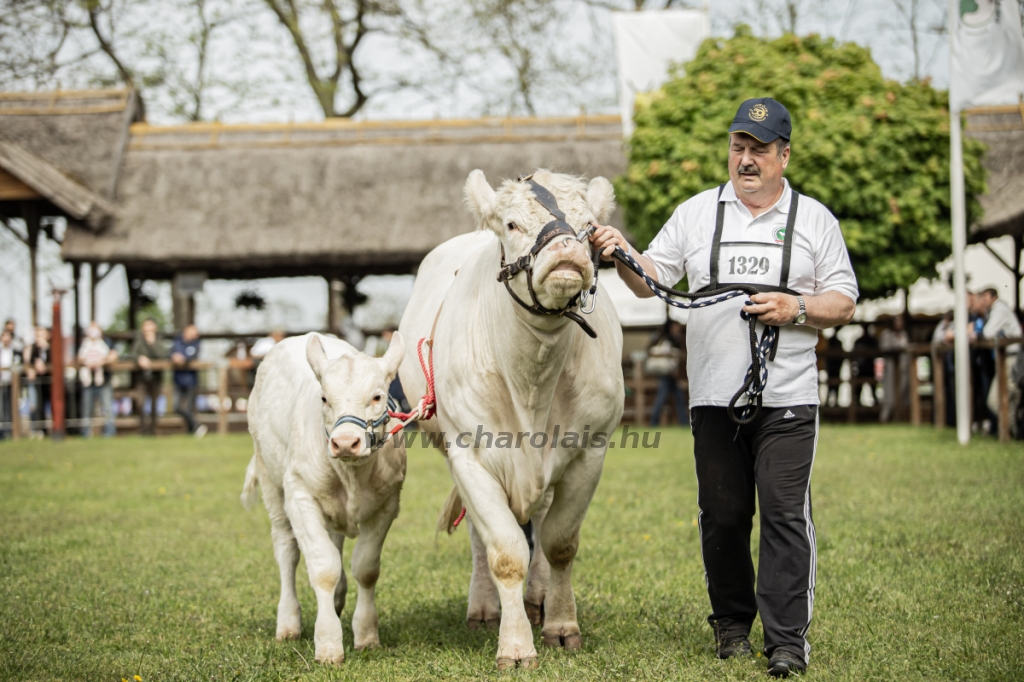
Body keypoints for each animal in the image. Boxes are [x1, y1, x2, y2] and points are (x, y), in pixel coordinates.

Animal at [241, 331, 405, 659]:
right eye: (324, 398)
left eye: (377, 397)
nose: (345, 443)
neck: (353, 475)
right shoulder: (300, 495)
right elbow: (323, 568)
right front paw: (328, 643)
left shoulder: (388, 502)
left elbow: (366, 568)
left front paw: (366, 634)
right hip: (271, 481)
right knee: (287, 550)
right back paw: (288, 622)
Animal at [397, 166, 622, 667]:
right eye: (513, 224)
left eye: (588, 226)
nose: (567, 250)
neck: (532, 376)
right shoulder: (470, 456)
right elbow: (503, 551)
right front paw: (515, 645)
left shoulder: (589, 453)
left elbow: (559, 543)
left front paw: (561, 624)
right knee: (482, 538)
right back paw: (484, 608)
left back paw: (537, 598)